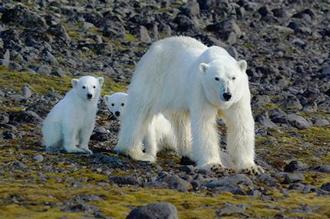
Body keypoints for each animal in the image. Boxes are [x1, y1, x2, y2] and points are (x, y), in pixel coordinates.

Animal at [115, 36, 262, 173]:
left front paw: (250, 167)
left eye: (233, 77)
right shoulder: (201, 91)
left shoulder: (239, 98)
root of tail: (154, 47)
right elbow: (204, 125)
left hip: (177, 94)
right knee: (139, 110)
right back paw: (134, 152)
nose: (227, 94)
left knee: (180, 121)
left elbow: (240, 124)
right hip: (153, 75)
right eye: (216, 78)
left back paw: (189, 151)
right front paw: (213, 165)